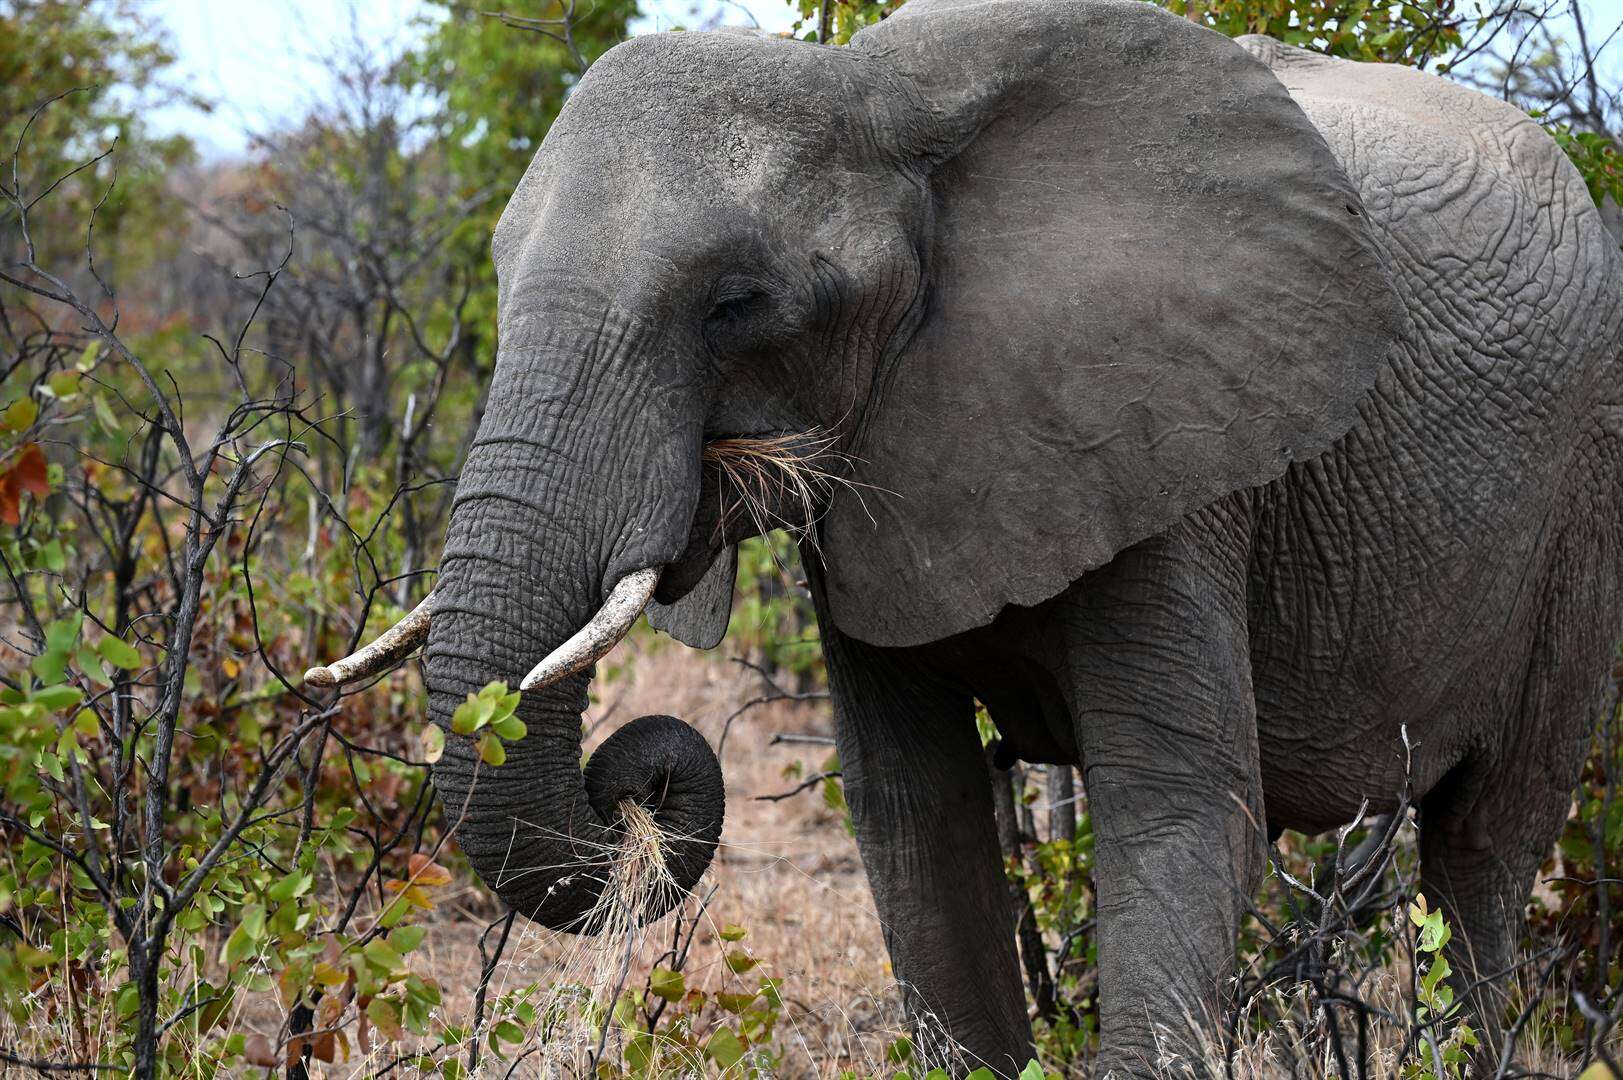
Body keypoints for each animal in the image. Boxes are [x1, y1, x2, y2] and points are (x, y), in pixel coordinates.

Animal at [306, 2, 1623, 1071]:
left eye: (738, 304)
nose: (638, 769)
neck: (878, 97)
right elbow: (916, 827)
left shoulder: (1171, 452)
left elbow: (1180, 818)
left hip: (1584, 497)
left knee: (1487, 850)